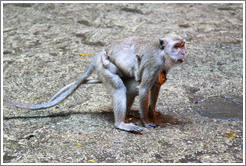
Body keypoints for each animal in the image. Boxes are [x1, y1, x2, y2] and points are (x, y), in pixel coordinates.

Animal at [3, 33, 186, 132]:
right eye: (177, 46)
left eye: (183, 45)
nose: (183, 52)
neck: (163, 54)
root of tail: (98, 56)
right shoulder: (154, 63)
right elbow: (144, 89)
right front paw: (146, 121)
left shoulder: (162, 68)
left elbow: (155, 87)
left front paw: (152, 111)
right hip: (104, 70)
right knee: (119, 87)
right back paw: (120, 123)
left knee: (129, 88)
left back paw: (128, 114)